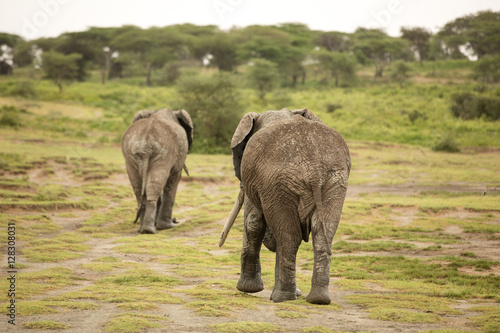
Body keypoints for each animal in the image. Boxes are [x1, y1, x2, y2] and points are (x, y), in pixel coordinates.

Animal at [219, 107, 352, 304]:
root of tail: (313, 168)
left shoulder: (258, 179)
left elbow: (253, 221)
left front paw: (248, 289)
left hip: (280, 182)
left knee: (289, 237)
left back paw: (282, 297)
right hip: (333, 181)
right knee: (321, 234)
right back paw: (317, 299)